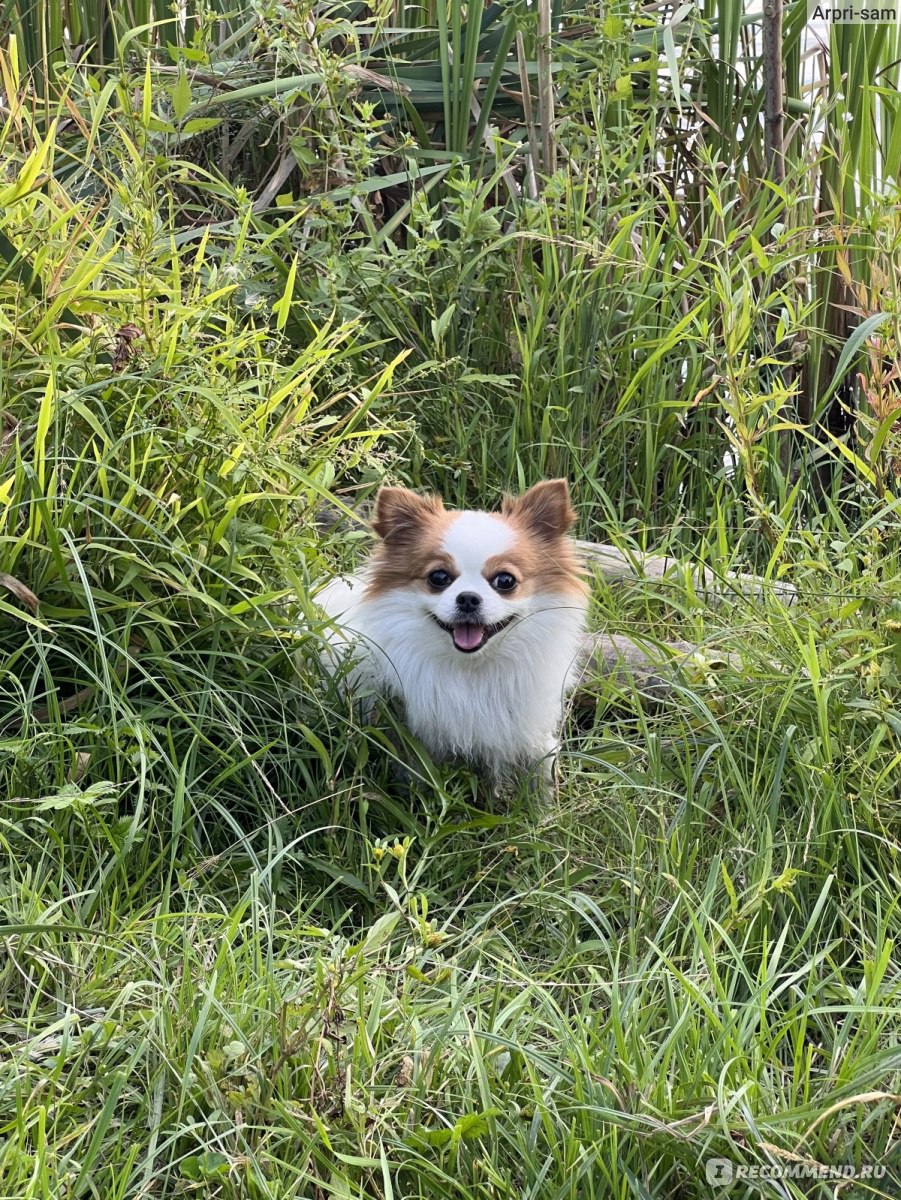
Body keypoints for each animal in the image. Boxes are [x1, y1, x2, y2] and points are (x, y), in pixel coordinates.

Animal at [316, 477, 592, 787]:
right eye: (439, 577)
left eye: (505, 581)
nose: (468, 598)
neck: (472, 671)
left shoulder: (531, 729)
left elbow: (543, 769)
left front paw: (543, 799)